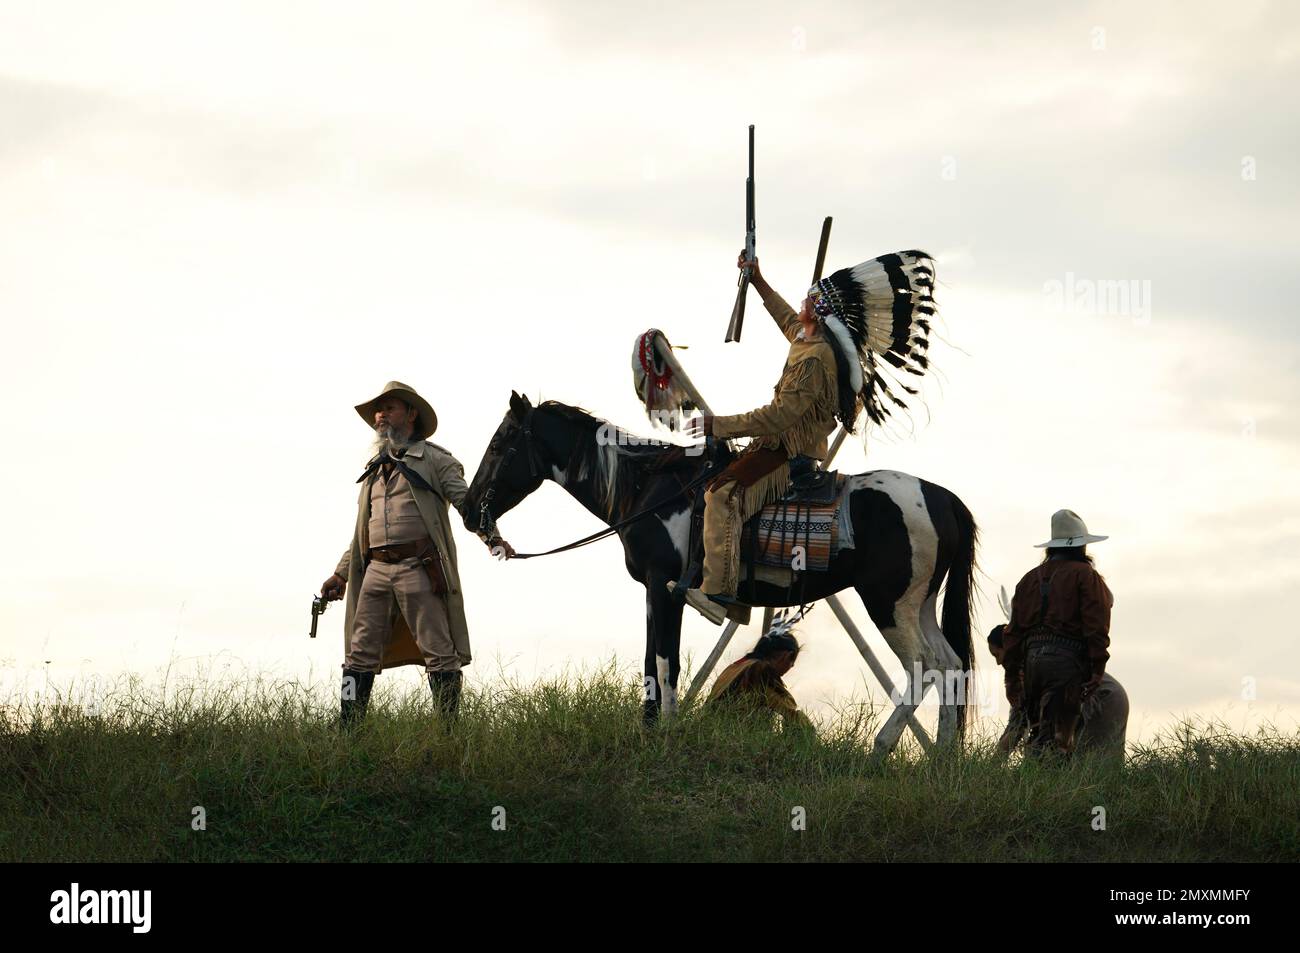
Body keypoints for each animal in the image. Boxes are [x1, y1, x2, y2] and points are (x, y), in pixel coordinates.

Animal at [462, 392, 977, 748]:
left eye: (501, 443)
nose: (468, 511)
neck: (648, 490)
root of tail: (944, 498)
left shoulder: (664, 587)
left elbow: (665, 661)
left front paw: (665, 734)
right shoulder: (652, 592)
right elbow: (650, 661)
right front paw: (649, 732)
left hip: (887, 602)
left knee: (923, 667)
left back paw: (881, 748)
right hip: (920, 604)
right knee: (950, 666)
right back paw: (943, 757)